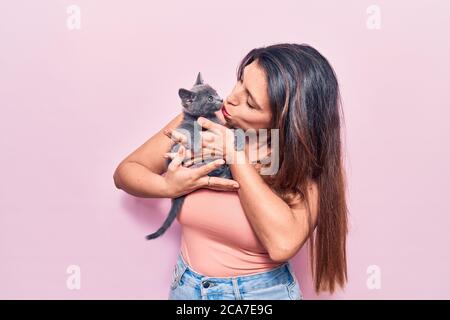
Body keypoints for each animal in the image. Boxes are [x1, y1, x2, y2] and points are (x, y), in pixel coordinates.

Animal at [145, 70, 244, 240]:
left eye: (216, 92)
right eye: (210, 98)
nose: (221, 99)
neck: (207, 117)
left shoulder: (222, 126)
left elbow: (233, 130)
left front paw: (239, 140)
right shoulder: (182, 127)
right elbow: (191, 130)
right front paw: (197, 143)